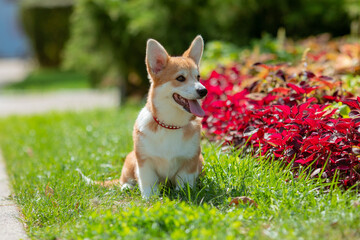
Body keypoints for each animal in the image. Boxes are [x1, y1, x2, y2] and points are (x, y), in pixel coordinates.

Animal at [79, 34, 208, 198]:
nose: (203, 91)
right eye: (180, 78)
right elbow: (148, 182)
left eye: (198, 77)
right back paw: (126, 187)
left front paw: (184, 193)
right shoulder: (145, 161)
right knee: (124, 180)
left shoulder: (190, 160)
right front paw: (150, 198)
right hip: (130, 159)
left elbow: (184, 180)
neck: (170, 125)